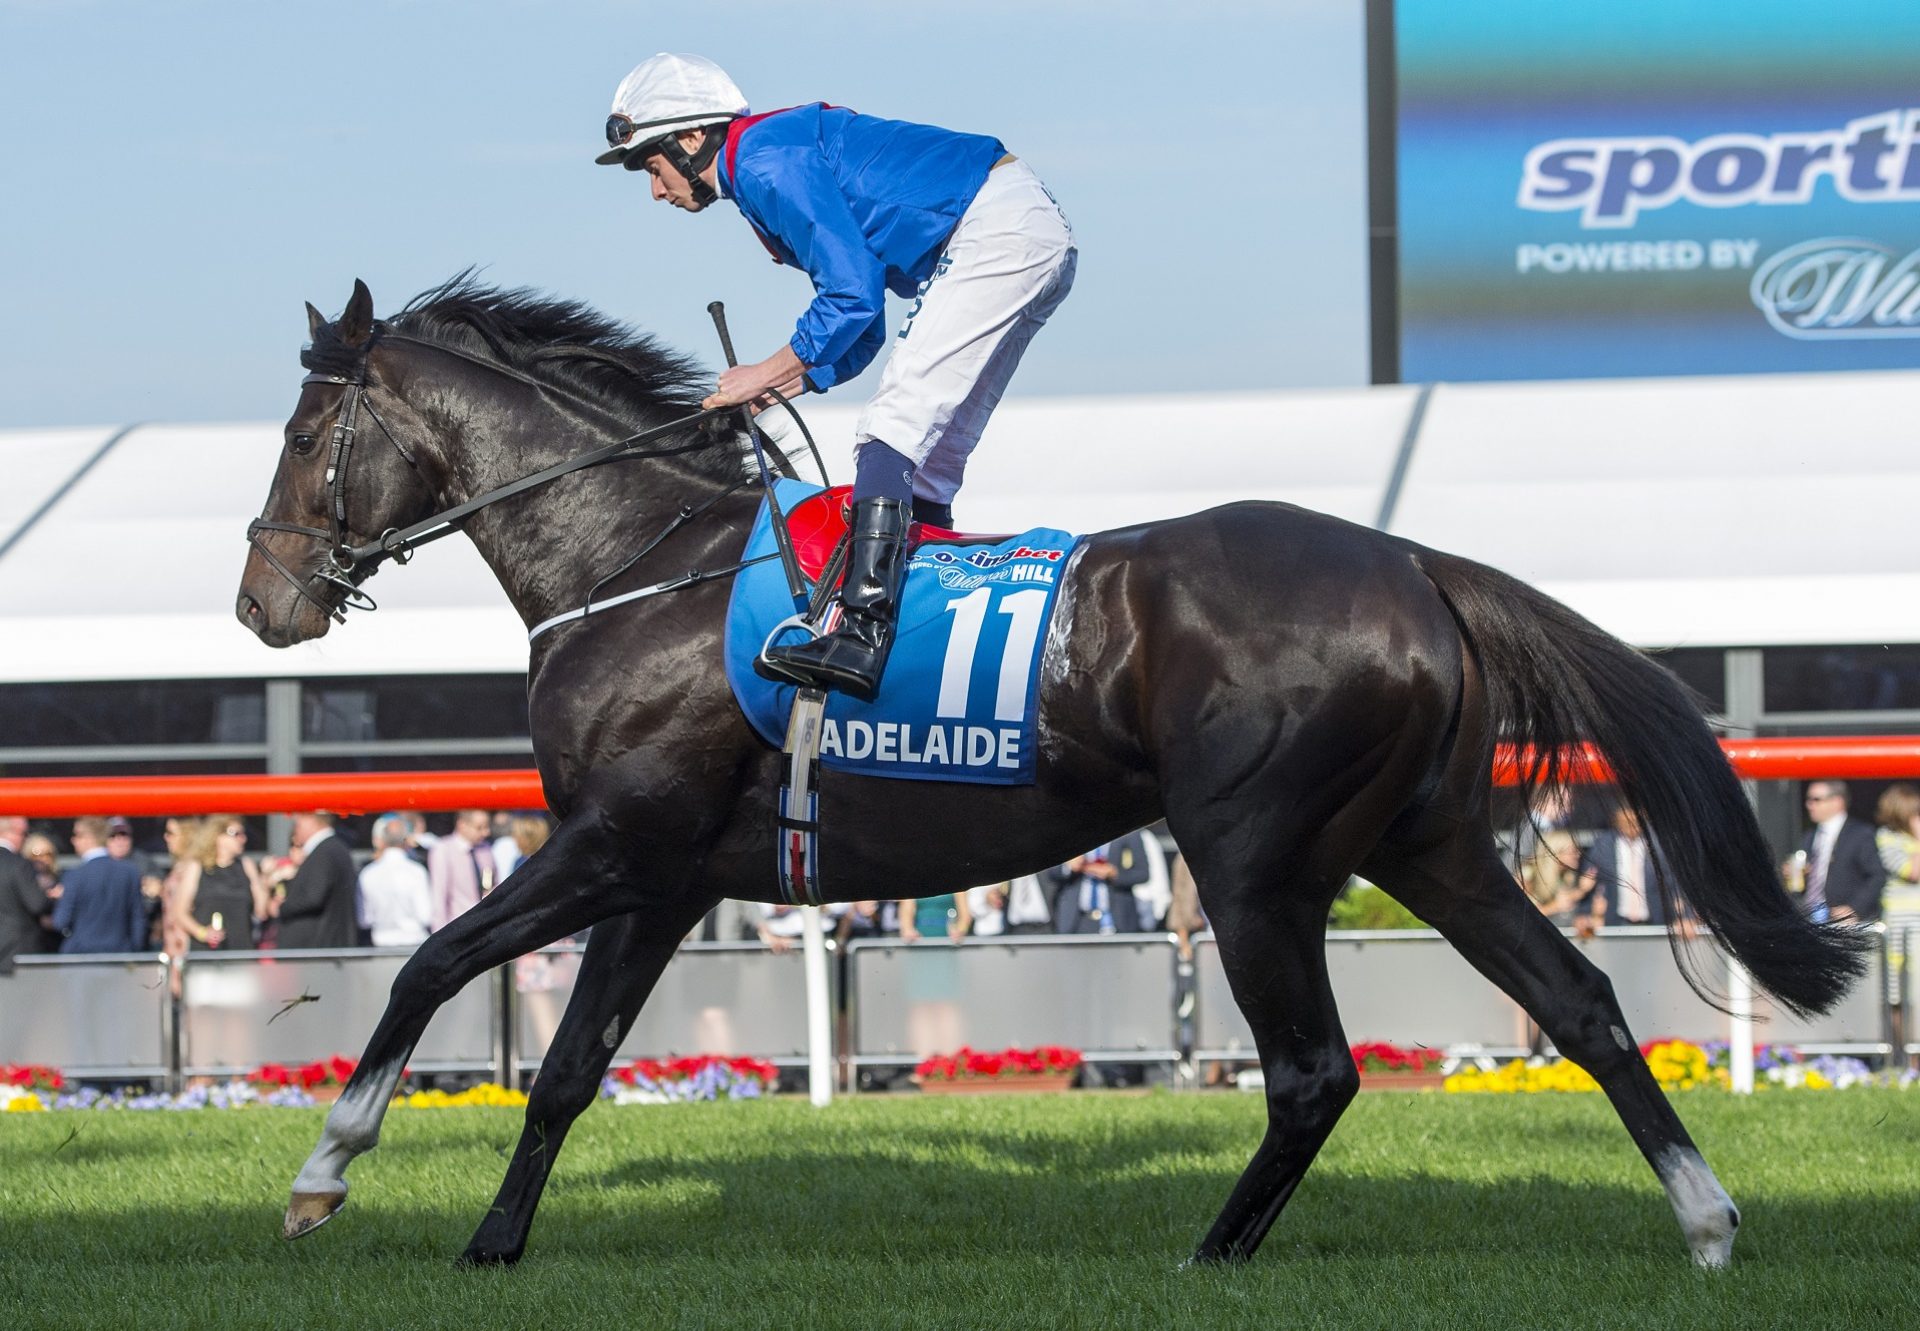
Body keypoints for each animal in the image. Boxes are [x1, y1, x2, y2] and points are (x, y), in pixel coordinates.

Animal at [236, 278, 1858, 1267]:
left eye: (308, 432)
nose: (266, 603)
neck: (636, 564)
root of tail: (1413, 562)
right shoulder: (665, 871)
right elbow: (569, 1068)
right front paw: (493, 1240)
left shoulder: (612, 843)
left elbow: (427, 965)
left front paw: (324, 1171)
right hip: (1425, 839)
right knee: (1579, 1002)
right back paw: (1707, 1216)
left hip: (1251, 854)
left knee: (1314, 1068)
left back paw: (1212, 1249)